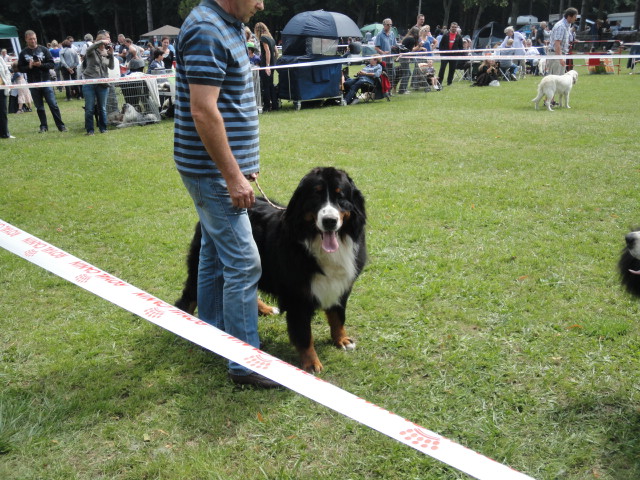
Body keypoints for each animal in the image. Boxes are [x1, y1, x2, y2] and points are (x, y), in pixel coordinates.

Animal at [175, 167, 368, 374]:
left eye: (341, 196)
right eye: (316, 196)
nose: (330, 221)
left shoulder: (341, 285)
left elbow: (338, 316)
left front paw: (342, 339)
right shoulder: (298, 297)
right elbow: (304, 334)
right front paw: (311, 364)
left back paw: (265, 308)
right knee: (189, 297)